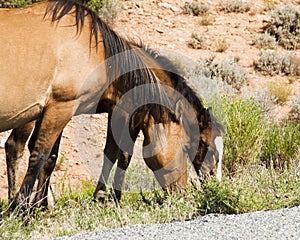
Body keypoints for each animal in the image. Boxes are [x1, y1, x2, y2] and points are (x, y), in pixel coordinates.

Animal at [1, 0, 223, 210]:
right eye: (193, 147)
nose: (183, 192)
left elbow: (57, 157)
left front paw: (41, 205)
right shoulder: (69, 108)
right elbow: (43, 154)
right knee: (16, 146)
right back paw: (16, 203)